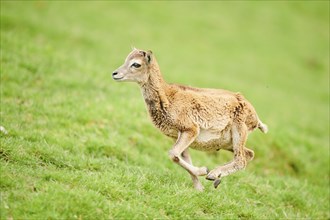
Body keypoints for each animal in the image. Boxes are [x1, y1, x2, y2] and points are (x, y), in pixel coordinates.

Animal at [112, 48, 266, 191]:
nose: (115, 74)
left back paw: (213, 175)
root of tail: (255, 117)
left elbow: (173, 154)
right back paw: (216, 180)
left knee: (241, 160)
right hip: (227, 142)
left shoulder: (190, 130)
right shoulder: (180, 136)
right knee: (249, 154)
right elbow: (181, 157)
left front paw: (204, 171)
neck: (168, 97)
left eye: (136, 64)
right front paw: (199, 188)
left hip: (238, 132)